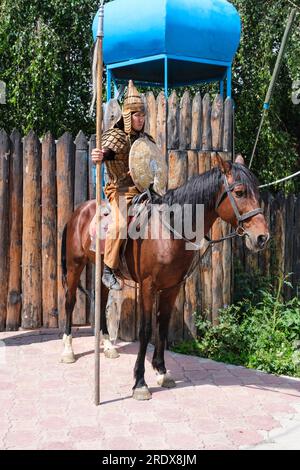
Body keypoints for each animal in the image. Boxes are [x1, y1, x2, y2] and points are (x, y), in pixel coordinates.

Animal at [59, 155, 268, 400]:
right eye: (240, 192)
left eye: (256, 191)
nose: (262, 237)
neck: (170, 229)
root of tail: (79, 212)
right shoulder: (148, 286)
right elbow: (146, 330)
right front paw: (140, 383)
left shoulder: (172, 287)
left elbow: (163, 326)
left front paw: (161, 371)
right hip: (75, 265)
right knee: (70, 301)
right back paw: (68, 350)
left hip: (102, 271)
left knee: (101, 300)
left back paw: (109, 347)